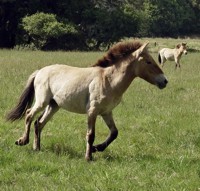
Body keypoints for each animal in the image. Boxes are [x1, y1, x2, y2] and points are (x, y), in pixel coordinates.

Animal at [6, 40, 168, 161]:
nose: (164, 81)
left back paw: (37, 148)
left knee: (39, 123)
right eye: (148, 62)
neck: (108, 80)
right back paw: (22, 141)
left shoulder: (106, 112)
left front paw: (97, 148)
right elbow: (91, 135)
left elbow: (114, 133)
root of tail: (40, 71)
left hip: (54, 105)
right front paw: (89, 157)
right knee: (29, 114)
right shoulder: (92, 111)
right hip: (42, 101)